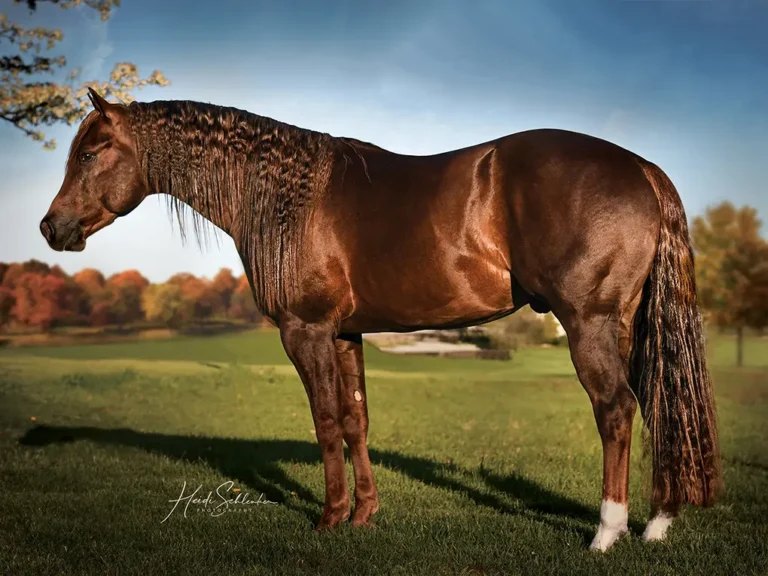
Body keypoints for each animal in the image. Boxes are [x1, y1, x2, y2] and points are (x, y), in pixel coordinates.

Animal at [40, 88, 721, 551]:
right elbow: (356, 420)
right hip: (631, 326)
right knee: (658, 402)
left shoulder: (306, 330)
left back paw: (607, 533)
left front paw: (329, 519)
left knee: (616, 409)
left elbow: (324, 422)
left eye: (92, 152)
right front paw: (365, 516)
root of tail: (640, 168)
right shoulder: (346, 333)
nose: (52, 228)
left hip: (590, 321)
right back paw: (658, 524)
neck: (292, 199)